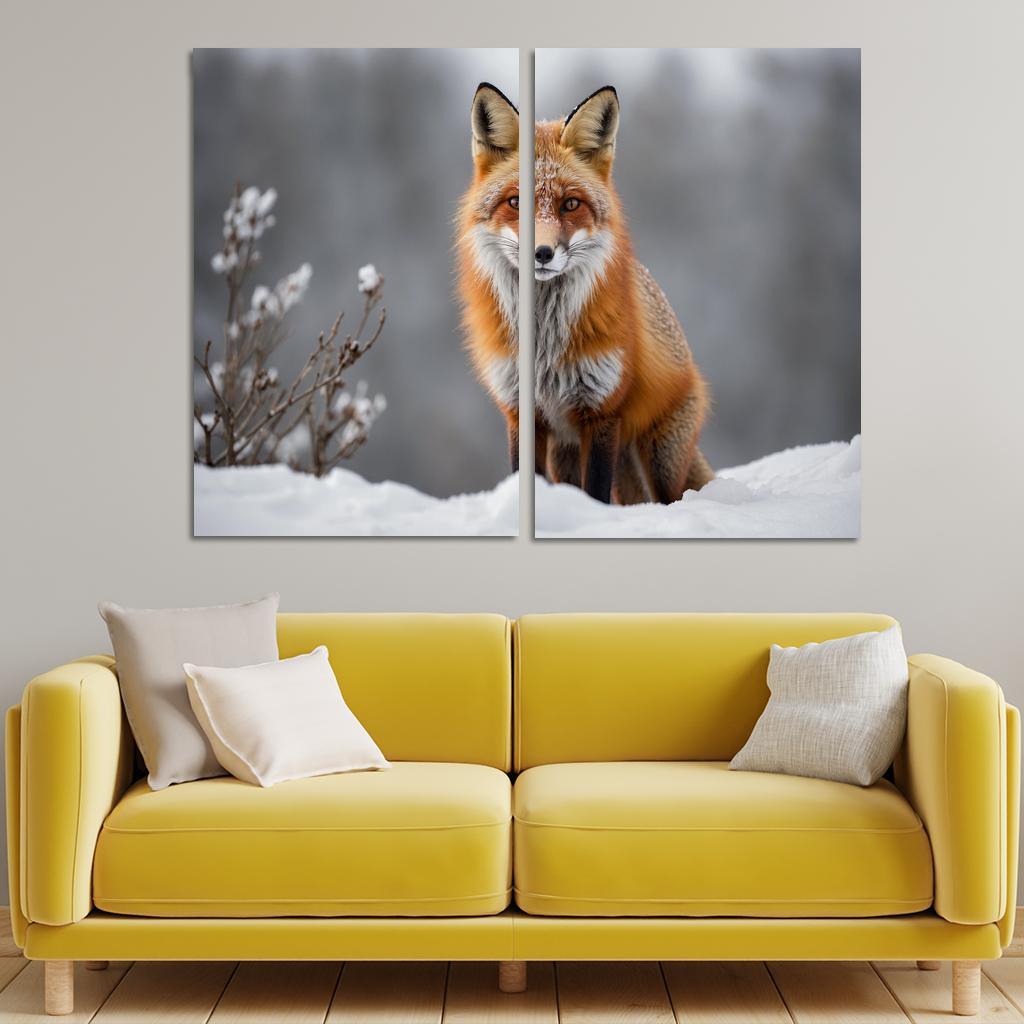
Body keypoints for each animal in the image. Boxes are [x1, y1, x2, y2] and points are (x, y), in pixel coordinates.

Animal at [458, 82, 713, 504]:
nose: (542, 253)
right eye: (515, 202)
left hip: (659, 460)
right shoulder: (520, 411)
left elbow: (596, 493)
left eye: (571, 204)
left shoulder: (601, 412)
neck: (544, 344)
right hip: (567, 457)